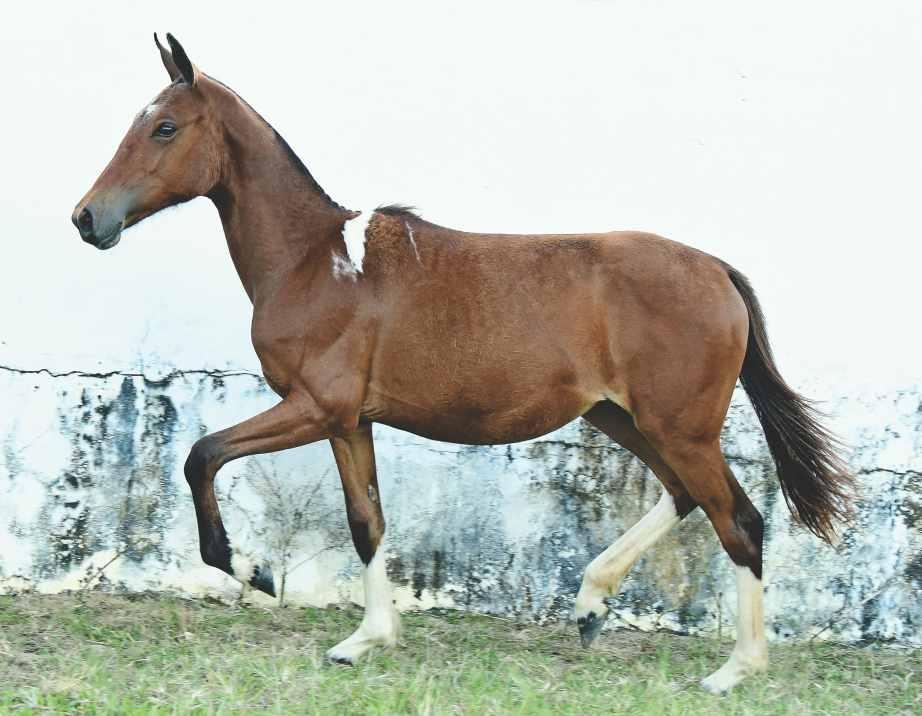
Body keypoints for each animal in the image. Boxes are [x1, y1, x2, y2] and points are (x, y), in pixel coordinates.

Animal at [68, 35, 852, 692]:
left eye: (165, 128)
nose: (87, 218)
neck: (314, 263)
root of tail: (717, 270)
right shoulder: (350, 423)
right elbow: (367, 521)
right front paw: (366, 639)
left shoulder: (314, 408)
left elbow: (201, 455)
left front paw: (254, 571)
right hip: (623, 418)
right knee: (686, 499)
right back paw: (591, 604)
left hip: (680, 429)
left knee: (739, 522)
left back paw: (733, 670)